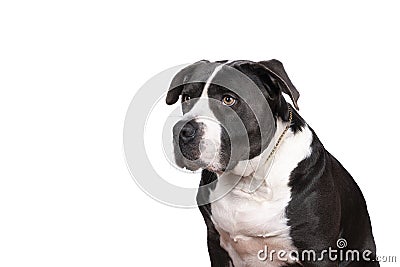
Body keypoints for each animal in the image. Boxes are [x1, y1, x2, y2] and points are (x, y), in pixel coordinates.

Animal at [166, 59, 378, 266]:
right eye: (187, 97)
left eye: (228, 99)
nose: (181, 130)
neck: (248, 181)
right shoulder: (216, 242)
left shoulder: (317, 249)